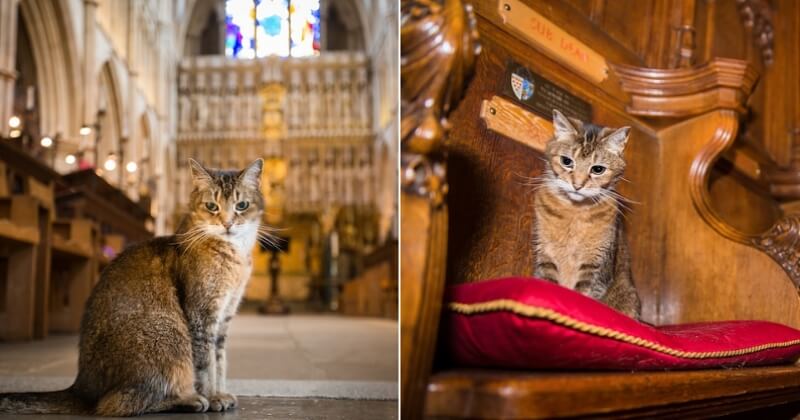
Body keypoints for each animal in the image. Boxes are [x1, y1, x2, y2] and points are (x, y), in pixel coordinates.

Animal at [532, 108, 644, 318]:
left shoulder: (595, 264)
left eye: (598, 169)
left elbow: (584, 294)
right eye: (567, 161)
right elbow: (548, 283)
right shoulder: (545, 255)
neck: (574, 213)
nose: (577, 185)